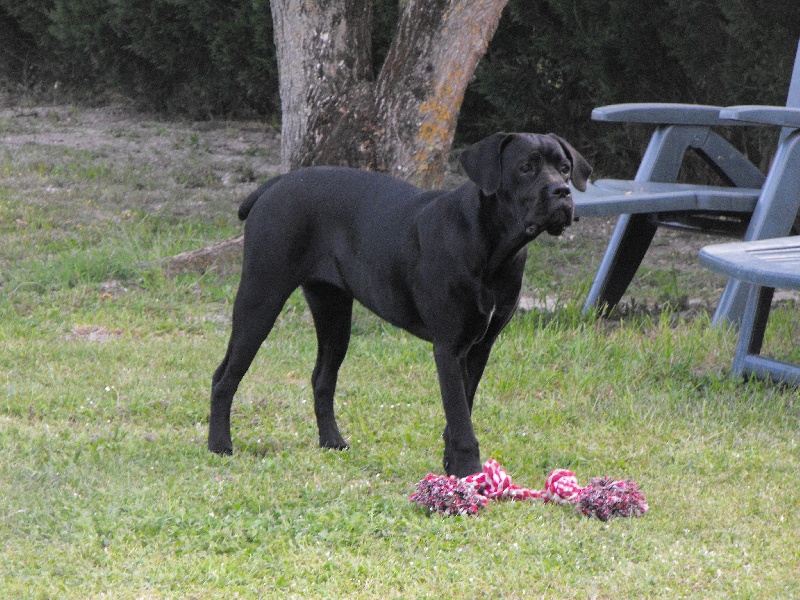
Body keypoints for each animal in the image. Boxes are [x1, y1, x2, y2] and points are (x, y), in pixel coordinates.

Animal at [209, 132, 592, 478]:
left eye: (564, 168)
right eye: (526, 167)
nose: (562, 191)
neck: (493, 246)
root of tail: (278, 182)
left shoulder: (480, 347)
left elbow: (461, 410)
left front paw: (452, 467)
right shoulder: (449, 347)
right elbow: (460, 417)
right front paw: (469, 474)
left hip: (333, 312)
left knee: (322, 378)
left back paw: (332, 442)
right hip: (261, 298)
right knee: (224, 376)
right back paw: (219, 446)